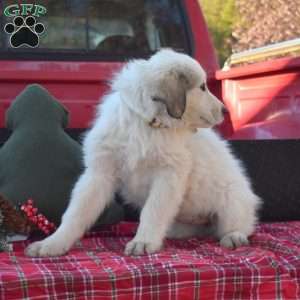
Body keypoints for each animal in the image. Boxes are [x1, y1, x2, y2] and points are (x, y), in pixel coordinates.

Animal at [25, 49, 260, 258]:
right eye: (202, 87)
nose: (225, 111)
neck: (148, 124)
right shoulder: (99, 173)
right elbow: (76, 213)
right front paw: (53, 243)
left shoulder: (168, 176)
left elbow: (152, 211)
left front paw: (144, 242)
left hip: (232, 199)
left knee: (239, 225)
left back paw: (234, 236)